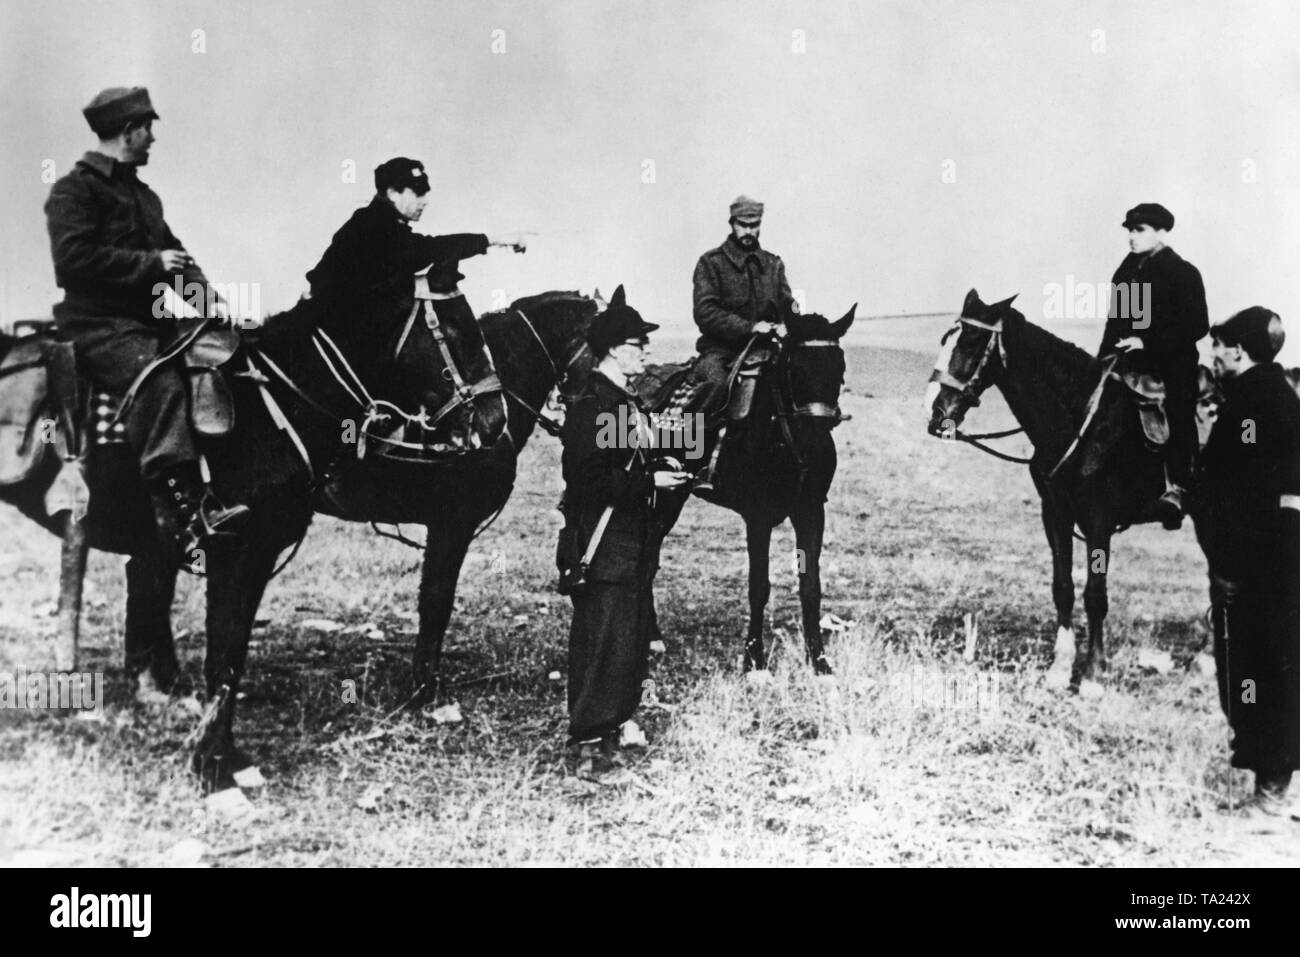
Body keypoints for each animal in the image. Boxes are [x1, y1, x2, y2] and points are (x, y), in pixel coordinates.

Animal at [0, 283, 596, 790]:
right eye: (453, 330)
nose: (491, 423)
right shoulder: (450, 526)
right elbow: (435, 604)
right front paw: (424, 692)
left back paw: (161, 683)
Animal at [924, 288, 1192, 692]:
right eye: (944, 339)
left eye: (971, 341)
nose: (936, 413)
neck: (1080, 422)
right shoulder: (1055, 513)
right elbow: (1063, 587)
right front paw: (1060, 668)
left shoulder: (1098, 518)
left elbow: (1095, 595)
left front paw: (1094, 674)